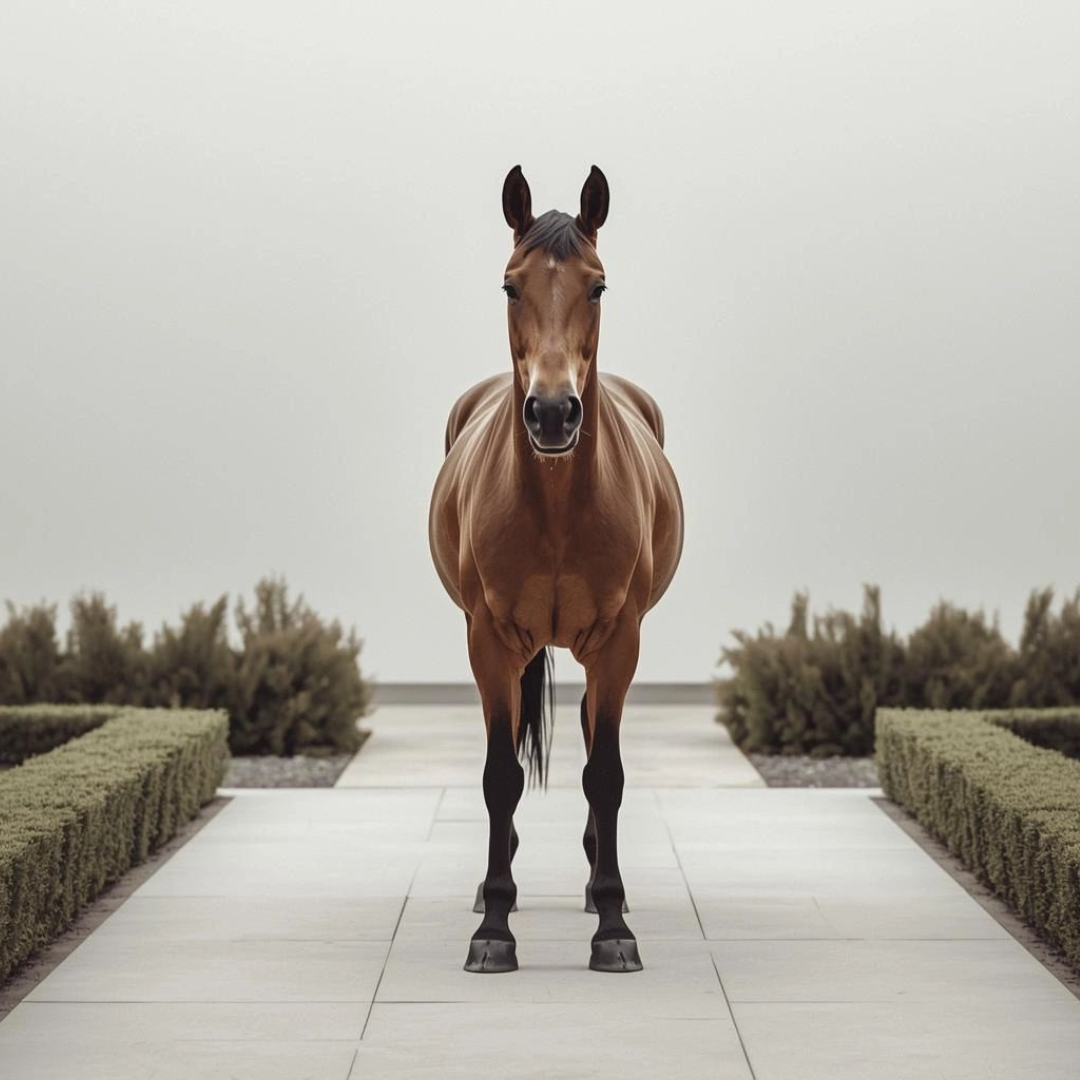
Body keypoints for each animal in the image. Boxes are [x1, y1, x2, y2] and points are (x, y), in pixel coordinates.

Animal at [428, 165, 684, 973]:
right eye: (509, 285)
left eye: (598, 285)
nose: (550, 414)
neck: (557, 510)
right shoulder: (488, 640)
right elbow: (500, 774)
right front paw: (494, 928)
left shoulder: (620, 641)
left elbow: (605, 772)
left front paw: (613, 926)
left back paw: (602, 884)